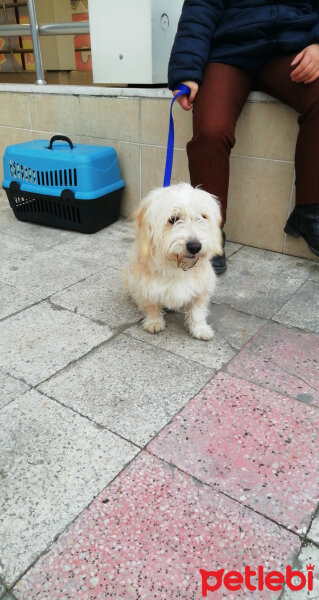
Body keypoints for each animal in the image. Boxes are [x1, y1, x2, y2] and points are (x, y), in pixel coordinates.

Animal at [124, 183, 222, 340]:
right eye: (174, 219)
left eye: (203, 217)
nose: (195, 246)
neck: (177, 267)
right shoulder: (144, 286)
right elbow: (151, 306)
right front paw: (154, 322)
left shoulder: (201, 288)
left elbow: (197, 312)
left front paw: (200, 329)